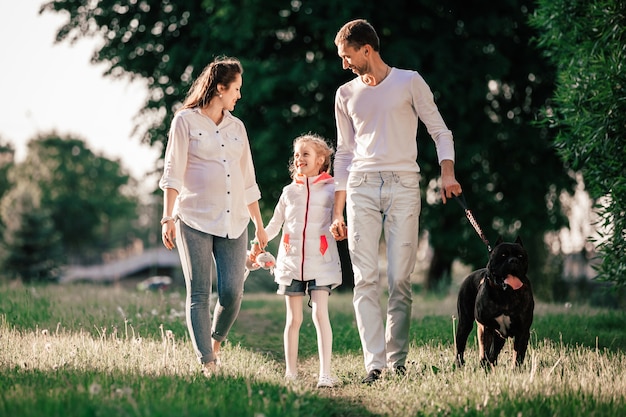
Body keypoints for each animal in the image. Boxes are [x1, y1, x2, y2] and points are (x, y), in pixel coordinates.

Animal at [454, 237, 532, 368]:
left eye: (520, 256)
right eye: (503, 255)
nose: (513, 261)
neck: (506, 294)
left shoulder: (523, 331)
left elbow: (518, 355)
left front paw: (516, 369)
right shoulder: (487, 327)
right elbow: (486, 350)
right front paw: (486, 367)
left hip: (498, 337)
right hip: (465, 324)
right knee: (461, 345)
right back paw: (459, 364)